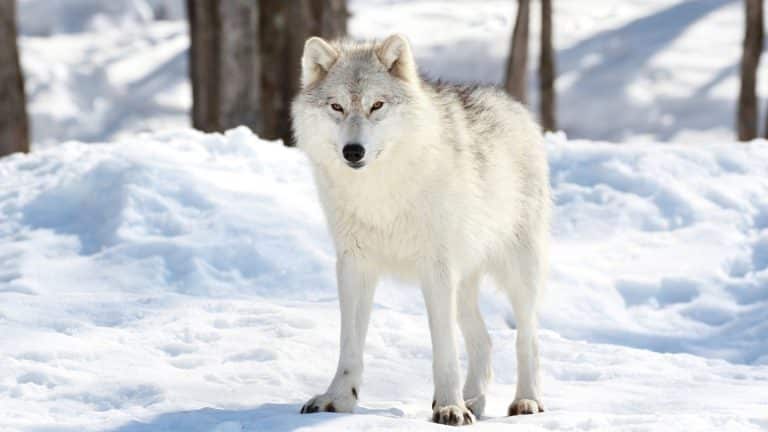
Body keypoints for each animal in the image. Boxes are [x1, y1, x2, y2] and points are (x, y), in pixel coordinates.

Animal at [291, 34, 550, 426]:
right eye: (336, 106)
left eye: (377, 105)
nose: (353, 151)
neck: (378, 192)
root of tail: (513, 104)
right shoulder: (353, 265)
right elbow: (349, 345)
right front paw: (337, 399)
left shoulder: (437, 270)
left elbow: (444, 349)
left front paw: (449, 407)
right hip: (464, 285)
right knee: (484, 340)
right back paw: (474, 400)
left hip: (517, 273)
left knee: (528, 338)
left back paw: (526, 401)